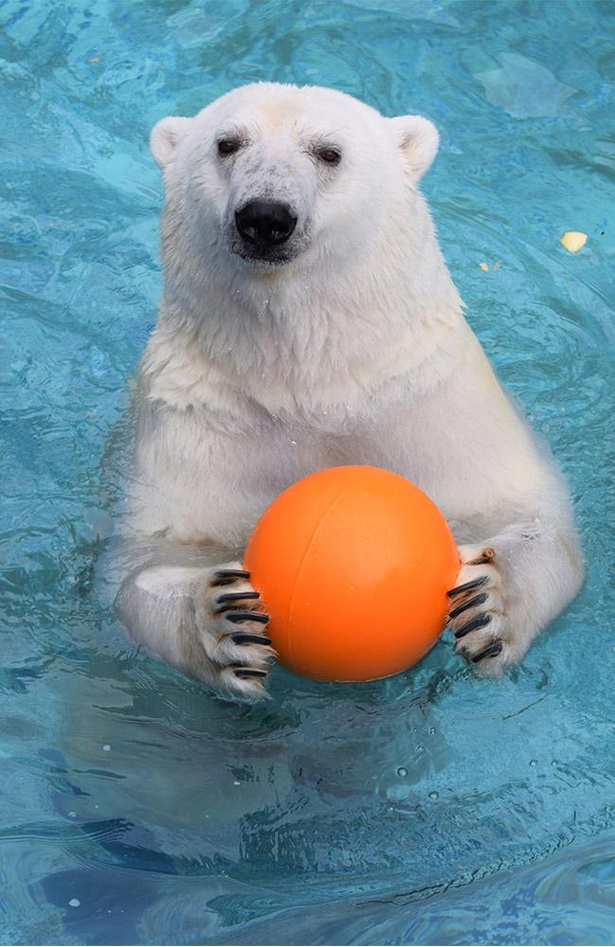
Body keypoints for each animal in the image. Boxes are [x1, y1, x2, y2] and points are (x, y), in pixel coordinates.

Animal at [113, 81, 584, 700]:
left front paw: (489, 602)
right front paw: (223, 617)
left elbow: (529, 514)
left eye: (328, 152)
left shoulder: (428, 404)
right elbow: (144, 563)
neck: (312, 380)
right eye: (226, 144)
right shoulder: (198, 426)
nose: (265, 216)